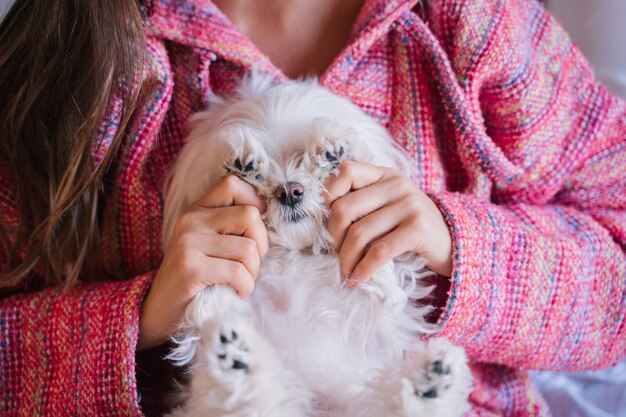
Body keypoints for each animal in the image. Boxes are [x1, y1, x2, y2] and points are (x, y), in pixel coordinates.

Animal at [158, 77, 470, 416]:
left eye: (301, 157)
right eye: (265, 168)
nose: (289, 191)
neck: (296, 253)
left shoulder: (377, 303)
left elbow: (382, 283)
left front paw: (333, 151)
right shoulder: (211, 319)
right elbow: (212, 307)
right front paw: (239, 165)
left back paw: (433, 380)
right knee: (246, 398)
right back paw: (235, 358)